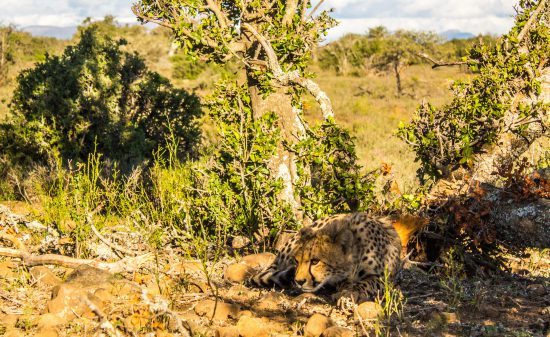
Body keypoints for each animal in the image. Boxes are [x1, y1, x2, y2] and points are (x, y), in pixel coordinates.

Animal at [252, 214, 424, 304]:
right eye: (297, 261)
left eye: (315, 261)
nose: (299, 281)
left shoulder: (384, 278)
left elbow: (366, 282)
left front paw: (350, 293)